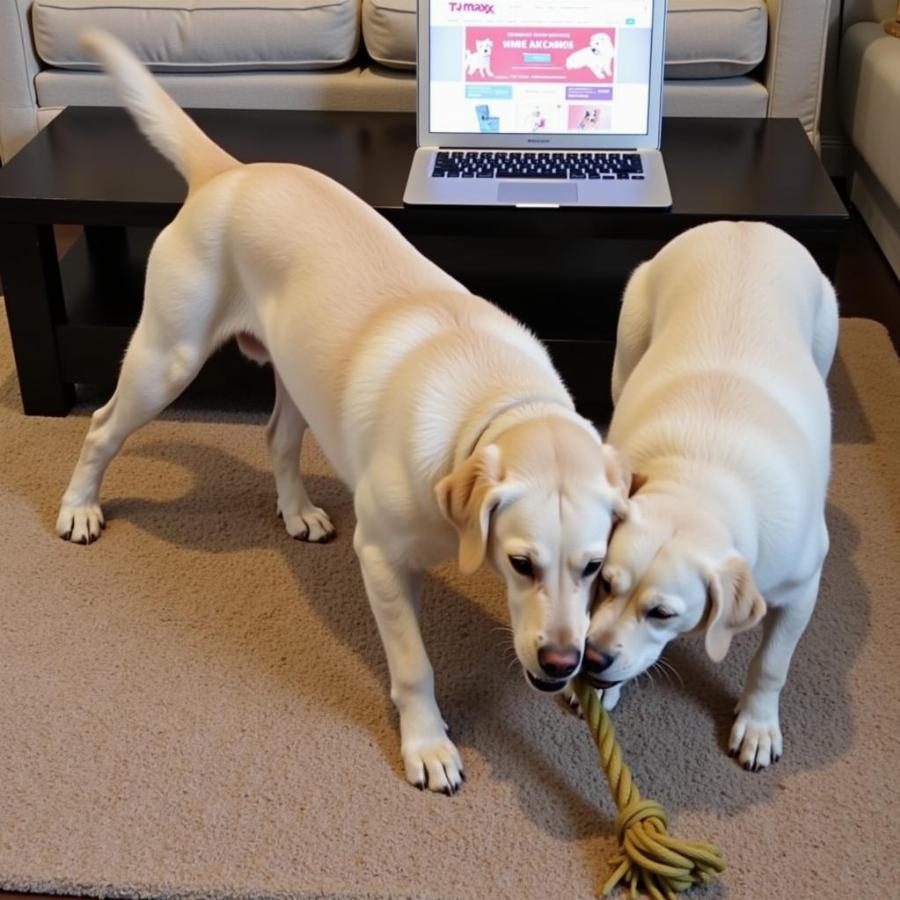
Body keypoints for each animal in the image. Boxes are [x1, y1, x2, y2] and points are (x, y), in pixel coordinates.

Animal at [58, 31, 632, 796]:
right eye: (521, 563)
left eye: (595, 567)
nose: (563, 662)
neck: (492, 403)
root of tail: (228, 174)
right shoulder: (382, 559)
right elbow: (415, 665)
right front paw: (428, 745)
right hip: (166, 359)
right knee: (100, 428)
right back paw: (79, 508)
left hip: (300, 378)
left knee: (277, 437)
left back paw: (297, 510)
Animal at [576, 221, 836, 768]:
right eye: (604, 582)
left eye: (662, 613)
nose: (594, 657)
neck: (699, 485)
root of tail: (742, 225)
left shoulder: (803, 587)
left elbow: (773, 663)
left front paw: (758, 725)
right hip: (628, 341)